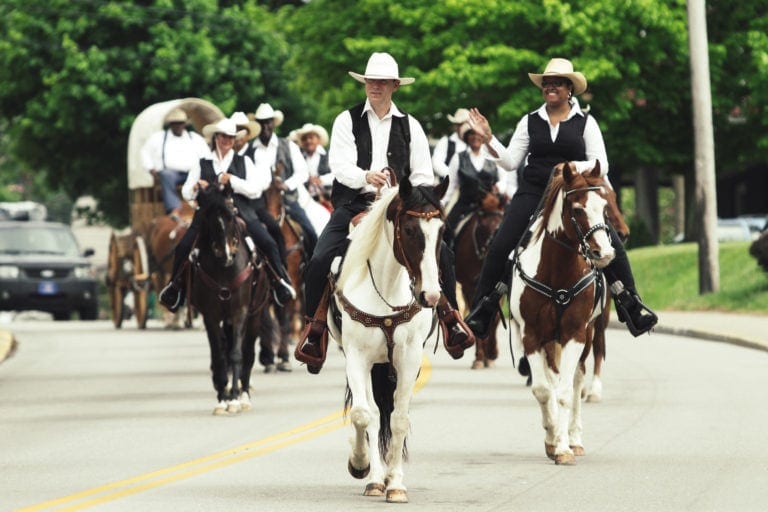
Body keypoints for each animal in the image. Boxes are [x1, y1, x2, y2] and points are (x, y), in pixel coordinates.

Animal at [190, 184, 276, 416]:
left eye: (232, 213)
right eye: (207, 216)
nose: (226, 254)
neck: (224, 269)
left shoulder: (240, 312)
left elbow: (237, 354)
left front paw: (236, 399)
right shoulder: (210, 316)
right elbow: (219, 357)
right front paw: (222, 398)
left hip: (254, 315)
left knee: (248, 353)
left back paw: (244, 394)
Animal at [452, 191, 508, 368]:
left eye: (501, 221)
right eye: (481, 225)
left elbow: (495, 318)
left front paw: (491, 354)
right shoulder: (470, 286)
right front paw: (479, 357)